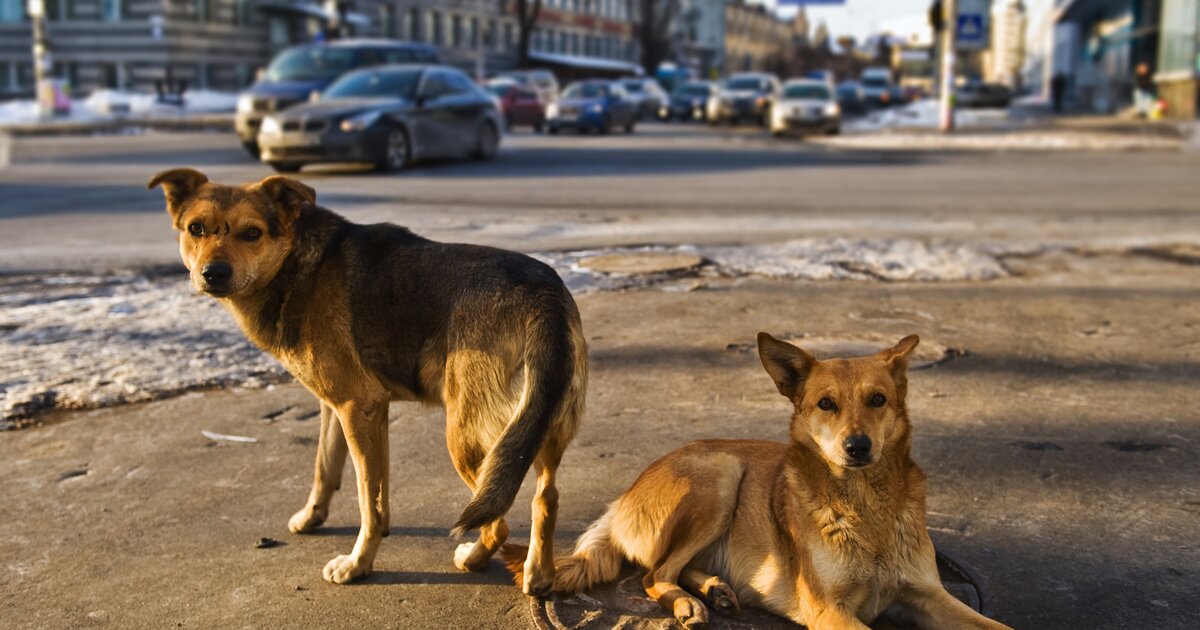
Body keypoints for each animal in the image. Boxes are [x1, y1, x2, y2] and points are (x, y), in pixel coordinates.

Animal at [147, 168, 588, 595]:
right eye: (196, 228)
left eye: (252, 233)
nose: (213, 274)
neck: (297, 265)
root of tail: (543, 295)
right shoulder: (351, 409)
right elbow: (330, 470)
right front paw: (312, 516)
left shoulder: (356, 409)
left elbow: (367, 503)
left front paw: (358, 564)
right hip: (536, 429)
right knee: (546, 497)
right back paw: (538, 574)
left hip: (467, 436)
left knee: (497, 519)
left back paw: (474, 559)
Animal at [504, 331, 1012, 624]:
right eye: (826, 404)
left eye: (878, 400)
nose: (858, 447)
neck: (866, 506)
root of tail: (620, 500)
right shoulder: (829, 610)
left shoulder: (930, 596)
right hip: (721, 475)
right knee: (654, 573)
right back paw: (690, 601)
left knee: (675, 566)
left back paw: (716, 590)